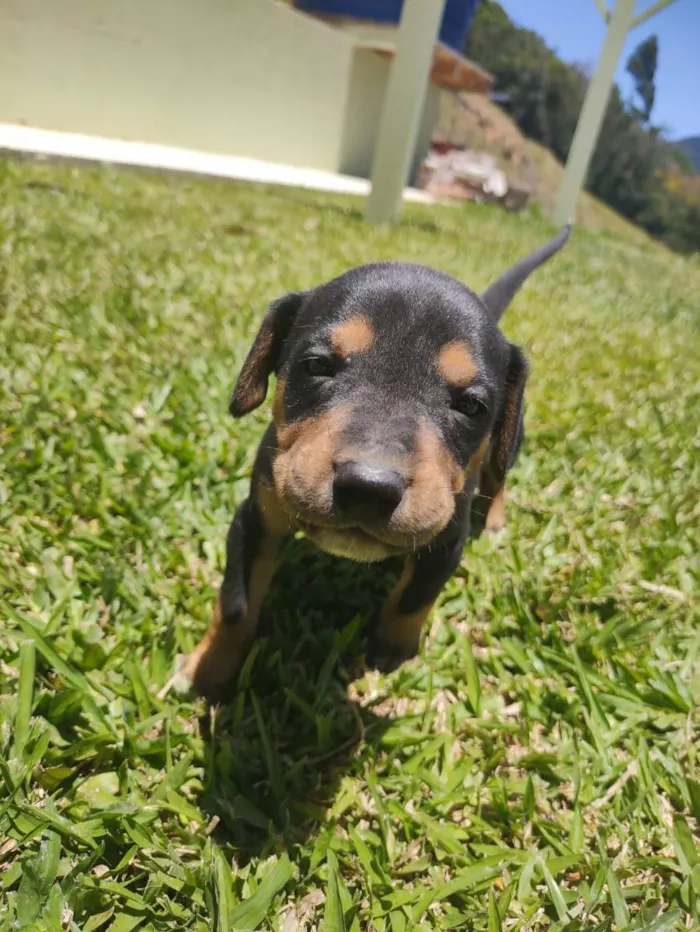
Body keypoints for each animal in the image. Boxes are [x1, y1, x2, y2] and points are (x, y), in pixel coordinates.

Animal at [180, 226, 568, 696]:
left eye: (471, 406)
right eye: (317, 365)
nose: (368, 487)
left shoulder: (446, 541)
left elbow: (412, 600)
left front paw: (392, 652)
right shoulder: (256, 519)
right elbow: (236, 605)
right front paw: (208, 671)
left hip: (509, 440)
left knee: (499, 474)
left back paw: (493, 518)